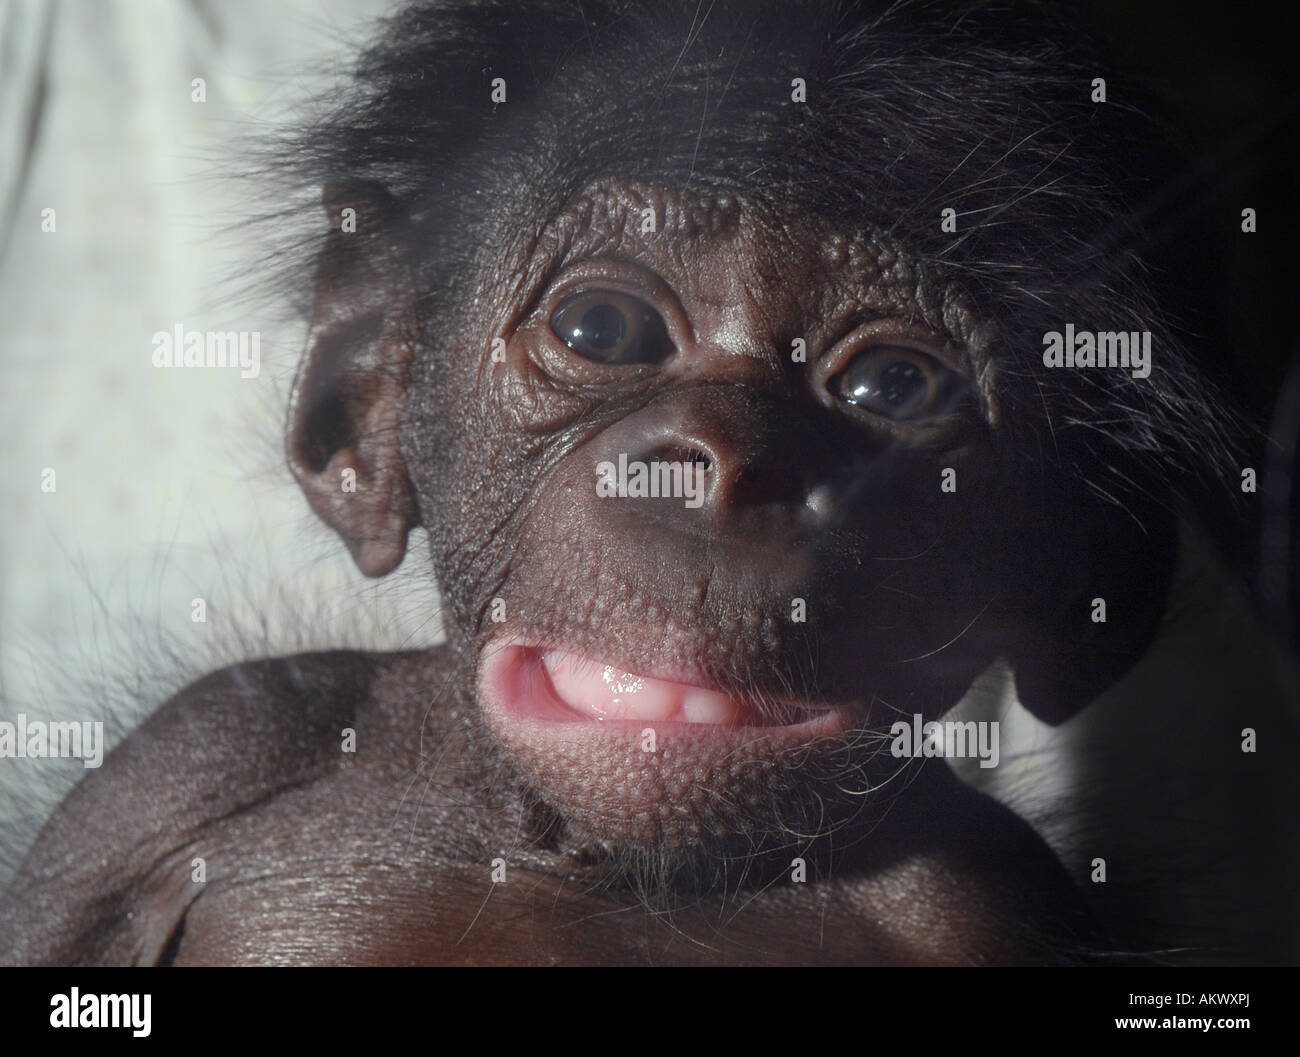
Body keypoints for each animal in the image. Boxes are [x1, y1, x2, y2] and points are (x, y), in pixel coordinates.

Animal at [1, 0, 1297, 966]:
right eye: (600, 326)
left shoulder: (998, 902)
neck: (587, 856)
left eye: (891, 385)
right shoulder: (190, 762)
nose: (730, 463)